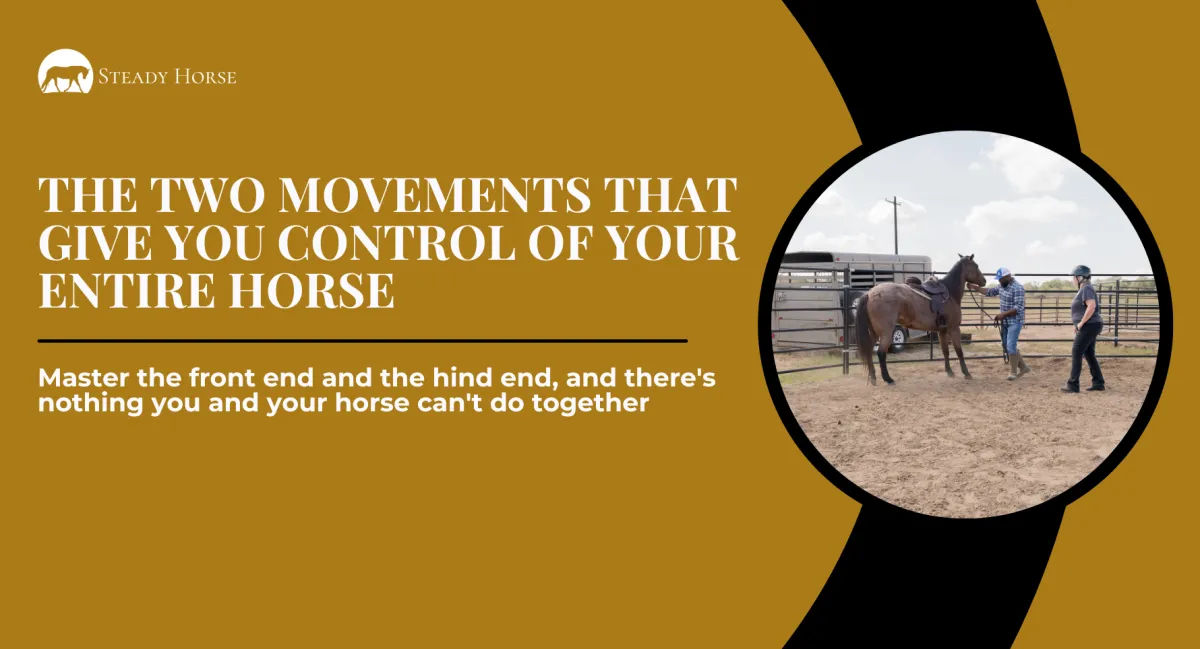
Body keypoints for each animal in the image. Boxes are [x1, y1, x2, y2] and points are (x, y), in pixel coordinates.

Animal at [854, 253, 988, 386]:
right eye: (976, 266)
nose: (984, 281)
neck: (950, 293)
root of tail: (869, 293)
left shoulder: (942, 331)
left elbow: (945, 351)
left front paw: (949, 372)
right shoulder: (953, 329)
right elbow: (959, 351)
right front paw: (966, 373)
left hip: (874, 332)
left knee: (869, 350)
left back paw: (873, 378)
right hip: (886, 333)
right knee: (881, 353)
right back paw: (888, 379)